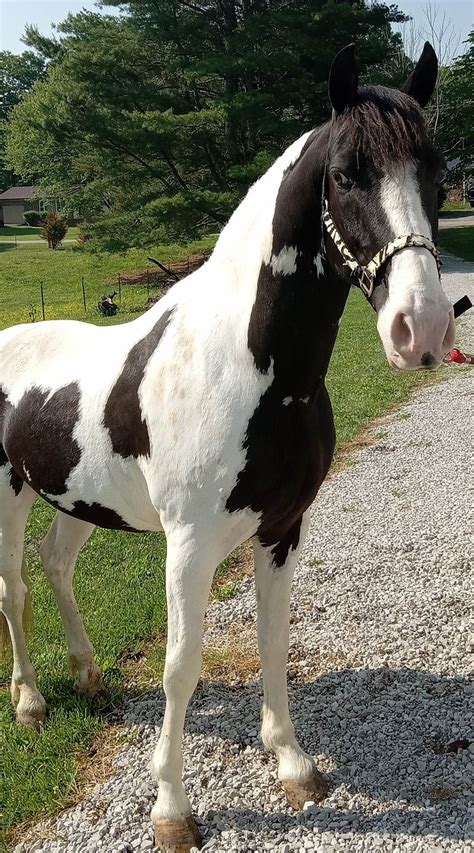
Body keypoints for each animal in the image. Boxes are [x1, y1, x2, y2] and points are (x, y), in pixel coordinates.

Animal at [0, 43, 455, 851]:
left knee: (54, 566)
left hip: (79, 501)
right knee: (14, 587)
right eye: (347, 175)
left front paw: (294, 766)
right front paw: (172, 811)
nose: (422, 328)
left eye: (435, 171)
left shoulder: (283, 529)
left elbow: (274, 641)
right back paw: (30, 702)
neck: (247, 367)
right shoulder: (188, 544)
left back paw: (89, 677)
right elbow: (182, 667)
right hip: (10, 493)